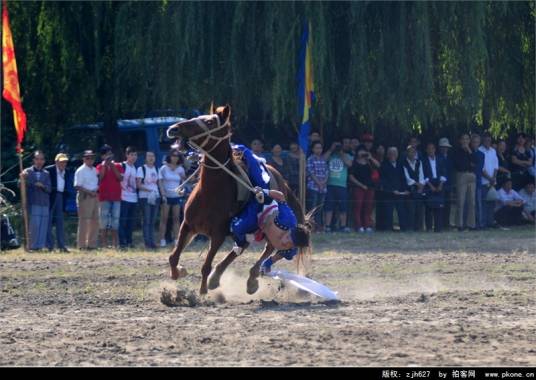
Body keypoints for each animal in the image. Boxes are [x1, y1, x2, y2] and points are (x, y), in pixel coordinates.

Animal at [166, 105, 306, 296]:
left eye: (210, 122)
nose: (174, 129)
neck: (209, 193)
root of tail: (280, 178)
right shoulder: (187, 225)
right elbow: (173, 257)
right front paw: (178, 273)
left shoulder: (218, 234)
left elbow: (206, 266)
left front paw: (202, 292)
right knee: (243, 246)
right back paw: (217, 278)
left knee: (267, 248)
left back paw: (251, 280)